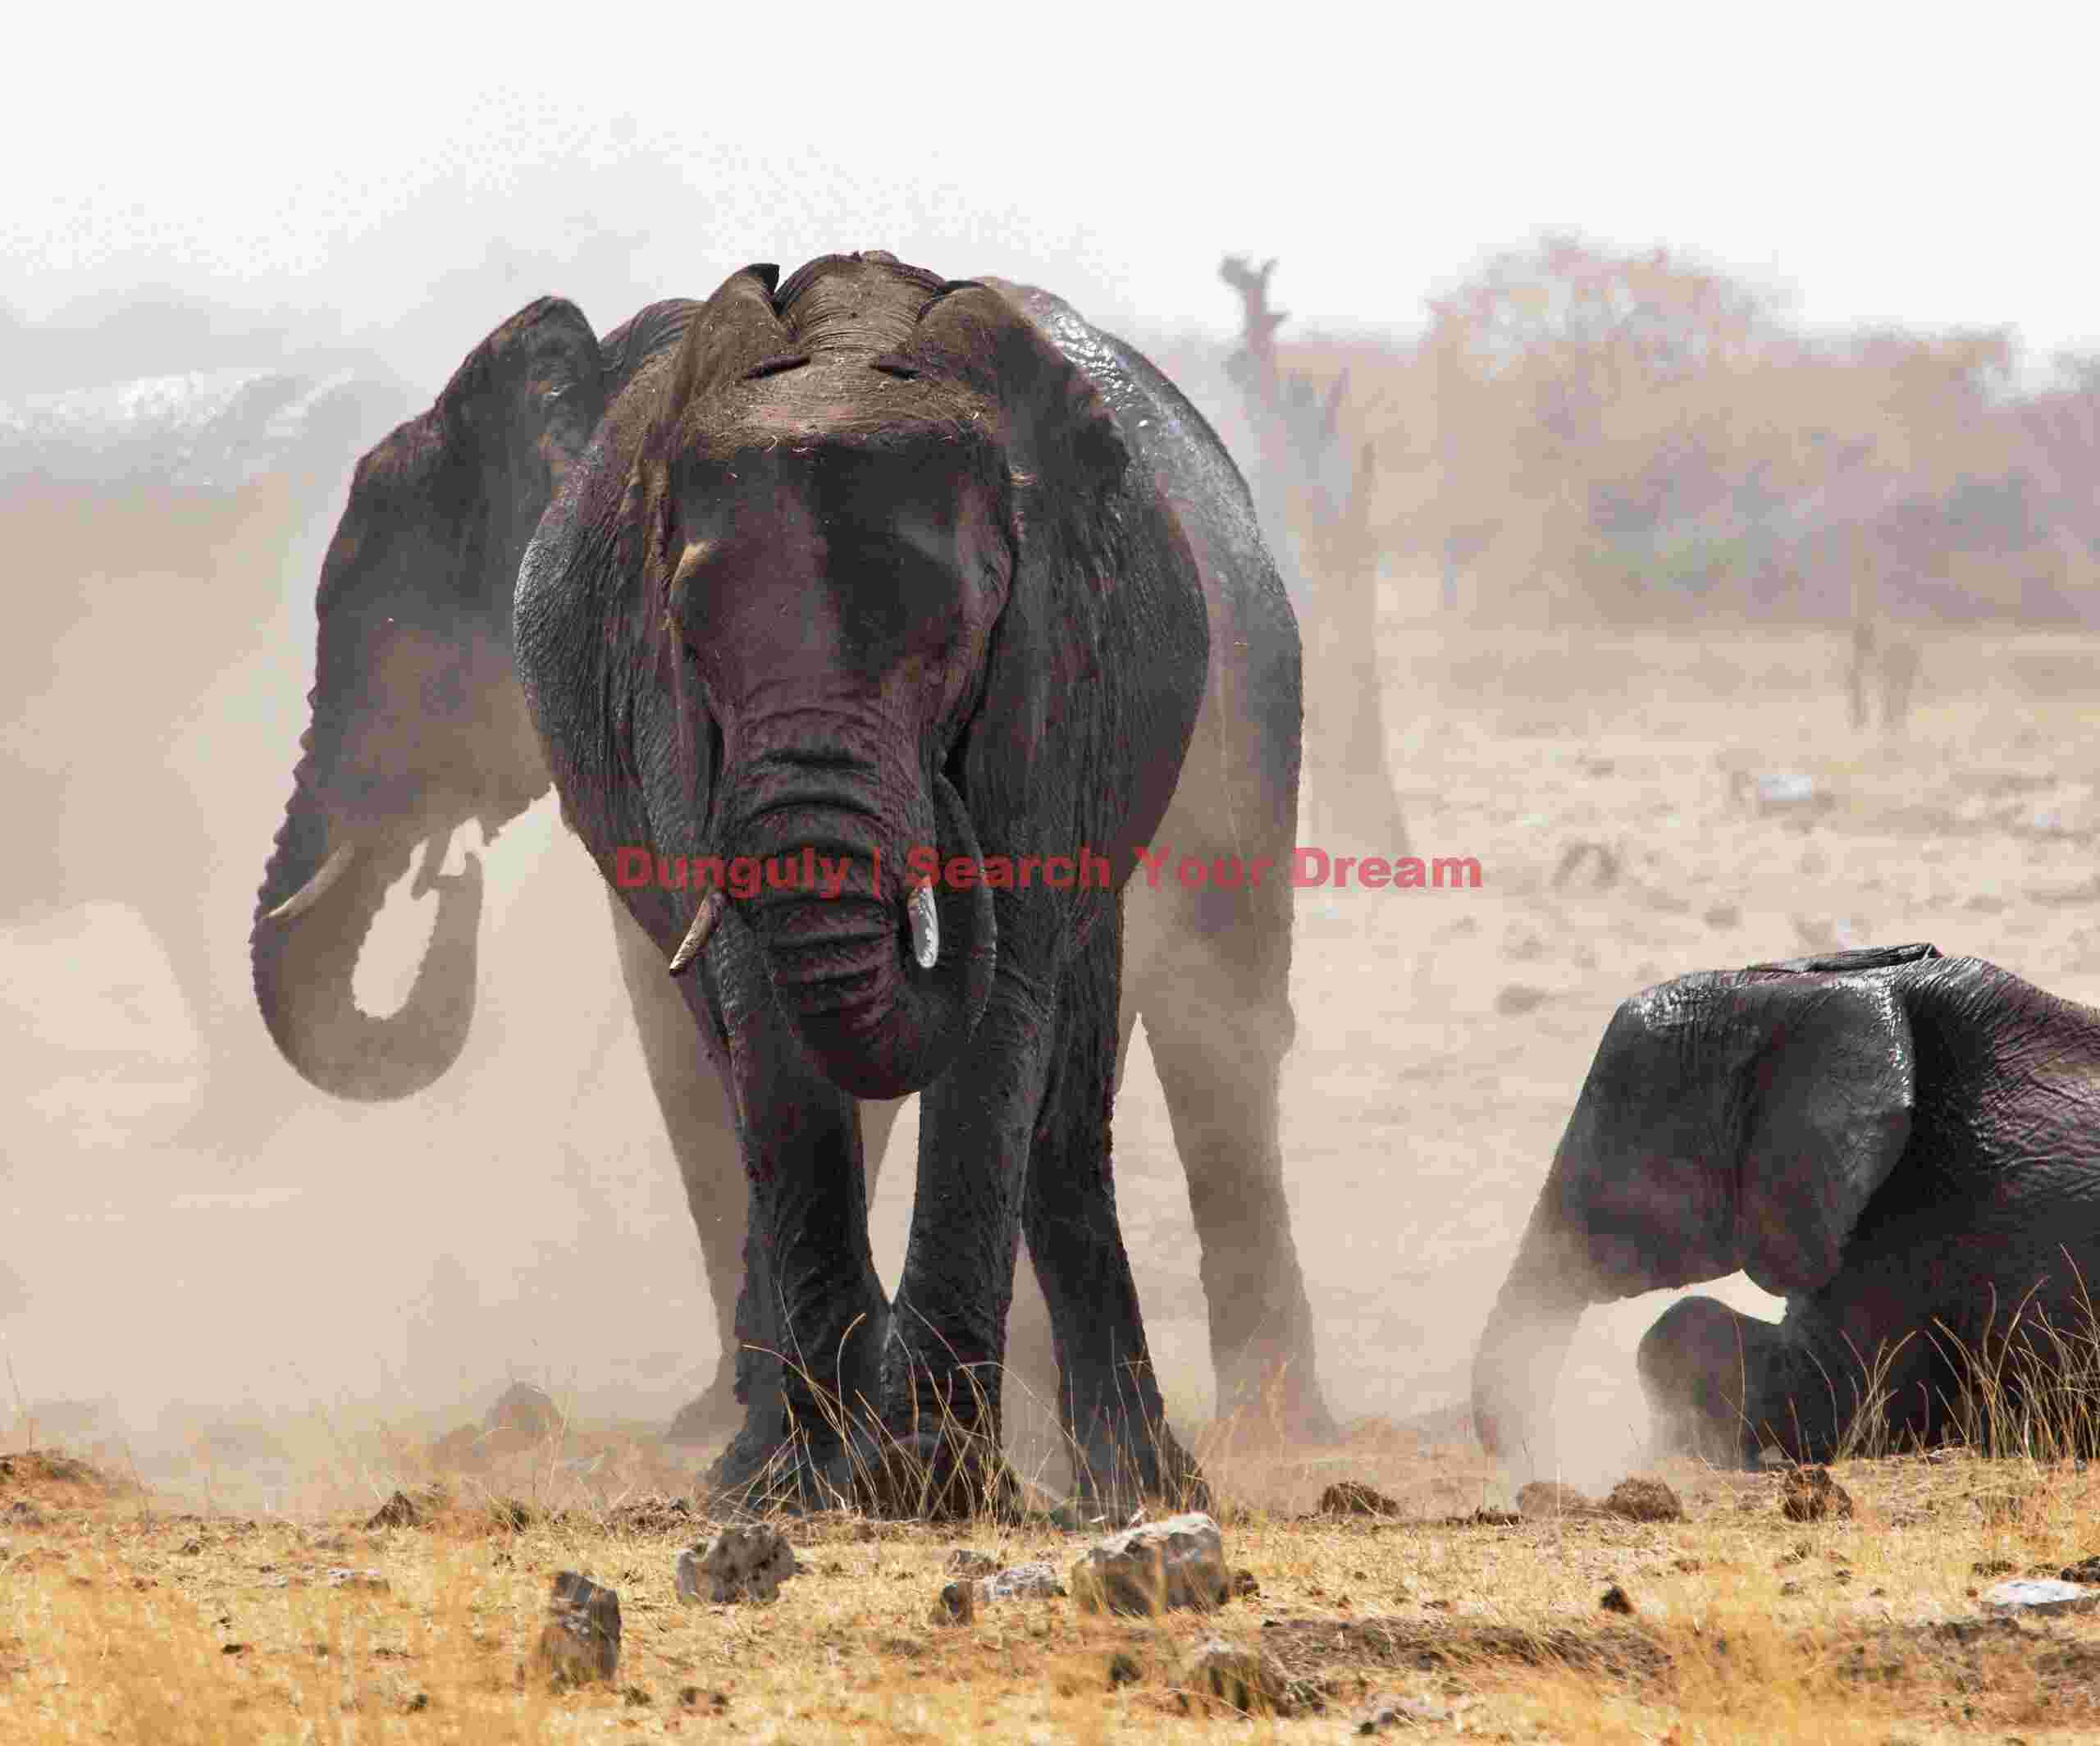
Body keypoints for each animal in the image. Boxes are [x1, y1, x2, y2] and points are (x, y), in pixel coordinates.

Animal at [251, 256, 1334, 1506]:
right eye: (694, 641)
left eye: (383, 629)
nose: (443, 878)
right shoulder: (660, 714)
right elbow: (742, 1013)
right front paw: (792, 1470)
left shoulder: (1054, 663)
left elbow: (997, 993)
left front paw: (926, 1468)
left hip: (1253, 696)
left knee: (1216, 1042)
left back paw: (1234, 1438)